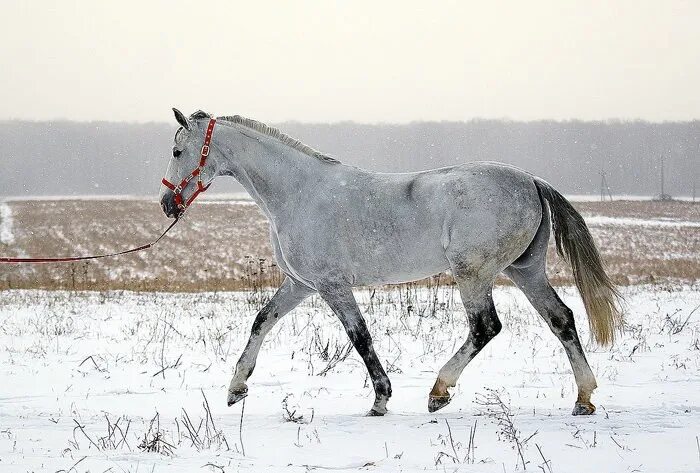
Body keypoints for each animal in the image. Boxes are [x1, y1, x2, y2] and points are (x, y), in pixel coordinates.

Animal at [161, 109, 620, 414]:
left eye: (178, 150)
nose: (168, 203)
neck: (296, 194)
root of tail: (531, 181)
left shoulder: (331, 286)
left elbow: (360, 336)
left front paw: (380, 398)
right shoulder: (300, 285)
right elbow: (262, 321)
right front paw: (236, 388)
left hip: (473, 274)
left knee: (485, 327)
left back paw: (439, 391)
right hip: (524, 271)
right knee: (561, 319)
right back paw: (583, 399)